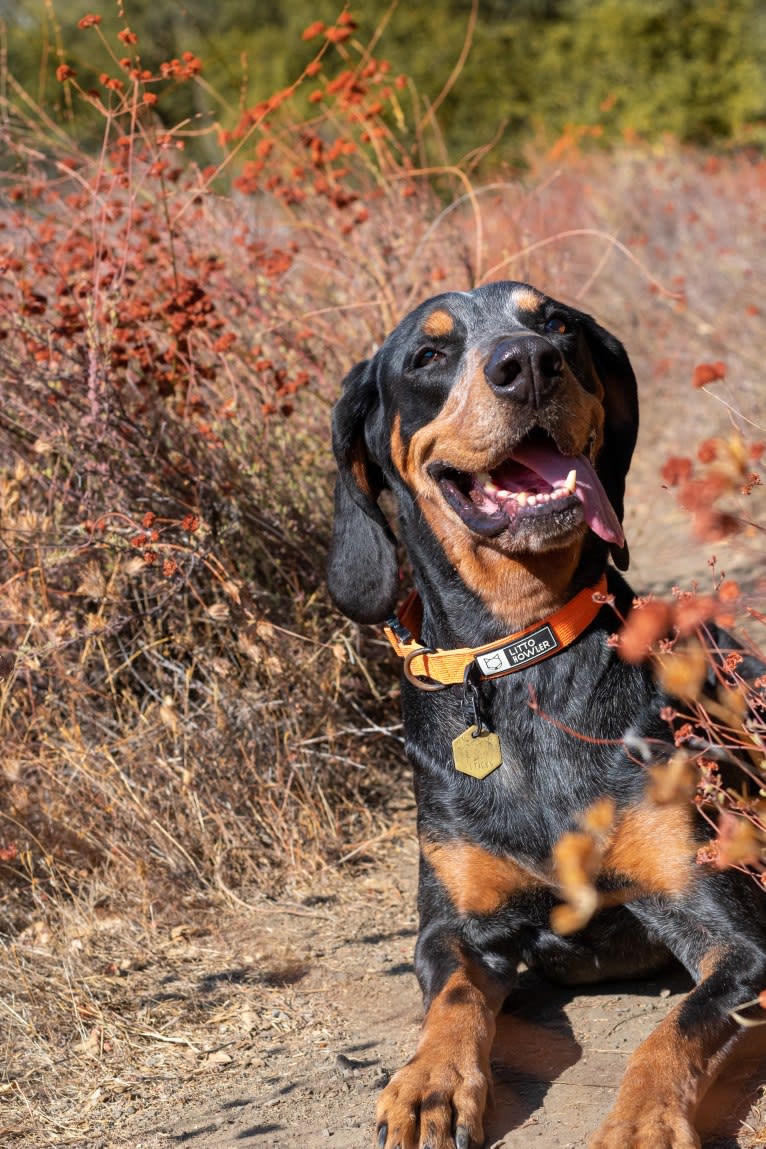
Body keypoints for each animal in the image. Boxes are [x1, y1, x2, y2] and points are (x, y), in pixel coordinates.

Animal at [326, 280, 766, 1149]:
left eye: (556, 323)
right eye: (427, 354)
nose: (529, 362)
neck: (522, 654)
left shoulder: (737, 941)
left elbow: (678, 1027)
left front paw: (641, 1122)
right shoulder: (452, 930)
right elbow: (453, 998)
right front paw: (427, 1082)